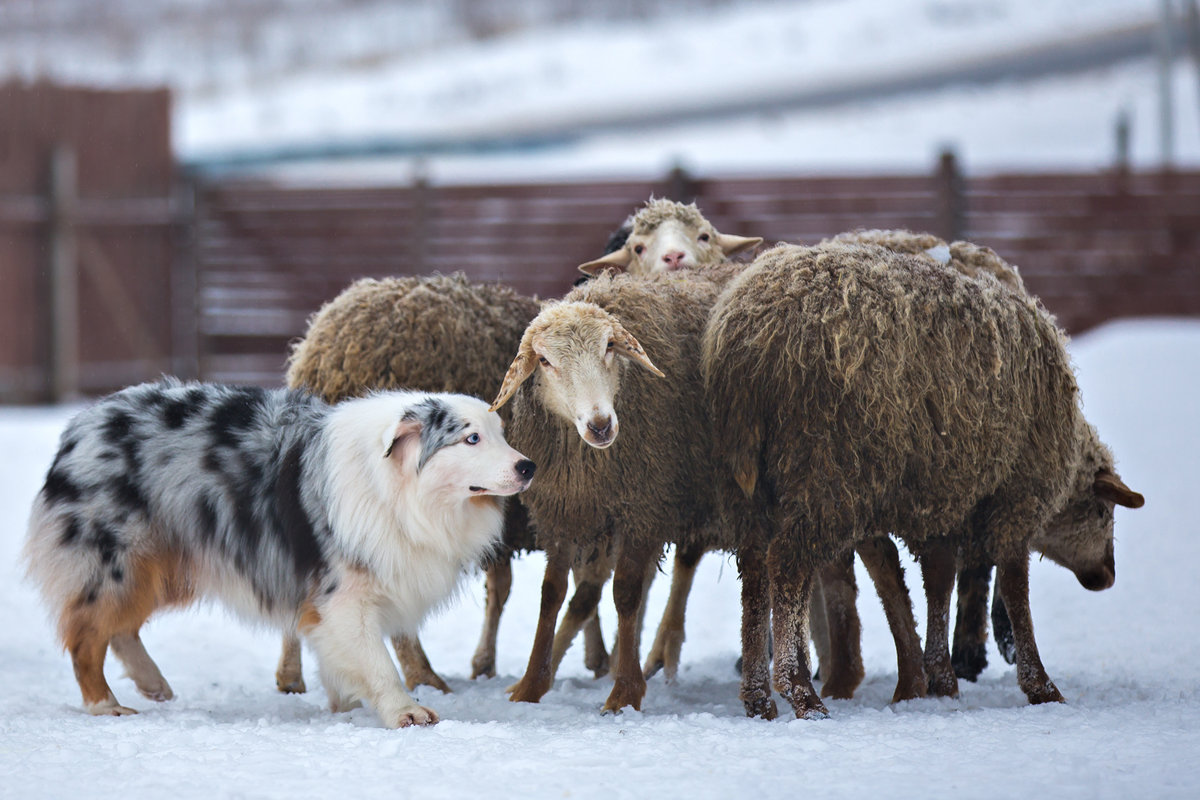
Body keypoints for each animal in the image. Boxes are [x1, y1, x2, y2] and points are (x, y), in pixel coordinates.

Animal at [21, 379, 537, 729]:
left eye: (502, 432)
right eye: (471, 438)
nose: (528, 465)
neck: (397, 489)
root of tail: (79, 425)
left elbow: (341, 659)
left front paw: (346, 705)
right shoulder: (343, 596)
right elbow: (377, 660)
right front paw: (403, 710)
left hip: (164, 560)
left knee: (122, 627)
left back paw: (153, 684)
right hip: (117, 559)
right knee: (87, 634)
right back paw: (104, 704)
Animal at [700, 242, 1142, 719]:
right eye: (1103, 512)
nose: (1107, 575)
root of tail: (745, 335)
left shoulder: (941, 492)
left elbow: (937, 578)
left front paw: (939, 678)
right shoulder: (1016, 493)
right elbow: (1013, 588)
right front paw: (1040, 686)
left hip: (752, 482)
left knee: (755, 572)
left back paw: (759, 696)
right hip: (827, 471)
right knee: (786, 564)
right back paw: (800, 691)